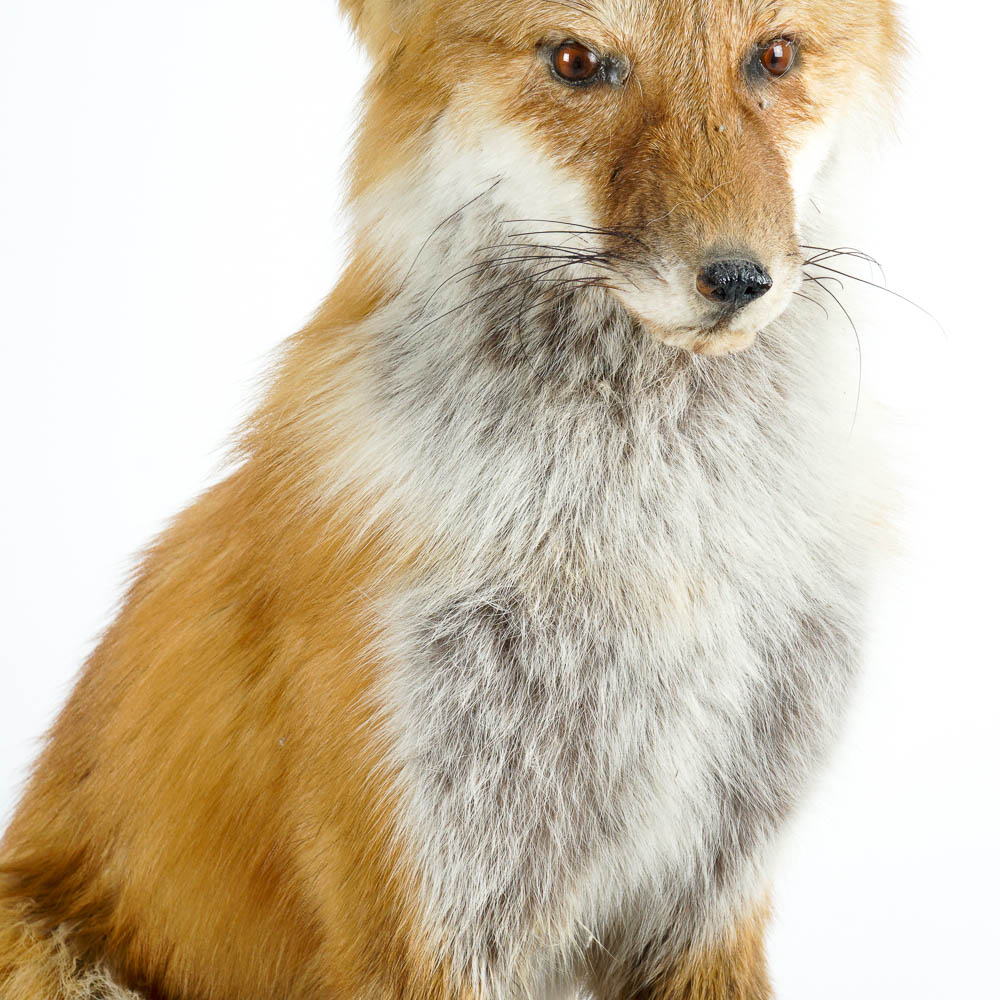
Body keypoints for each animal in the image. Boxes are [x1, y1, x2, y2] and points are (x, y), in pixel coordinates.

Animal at [0, 1, 904, 998]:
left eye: (774, 55)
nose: (739, 280)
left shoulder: (712, 893)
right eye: (576, 61)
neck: (656, 548)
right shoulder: (423, 905)